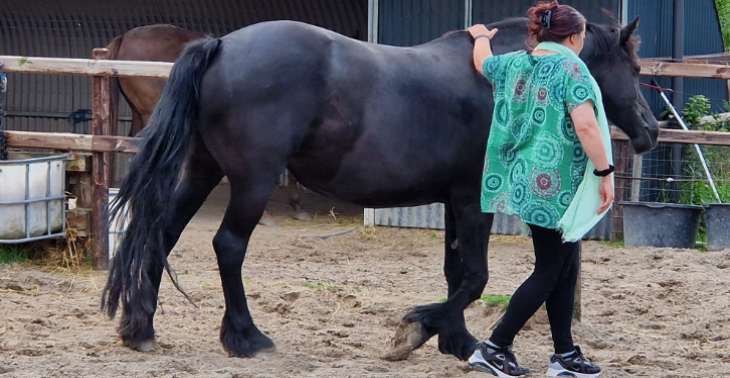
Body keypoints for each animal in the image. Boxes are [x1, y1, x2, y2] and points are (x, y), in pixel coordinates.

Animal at [101, 16, 656, 362]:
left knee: (160, 235)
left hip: (201, 170)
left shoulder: (453, 200)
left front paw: (454, 340)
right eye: (633, 70)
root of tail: (220, 46)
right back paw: (246, 337)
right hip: (252, 183)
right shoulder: (472, 201)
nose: (651, 129)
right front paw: (417, 330)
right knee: (228, 246)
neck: (499, 78)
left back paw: (139, 329)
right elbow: (475, 277)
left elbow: (457, 273)